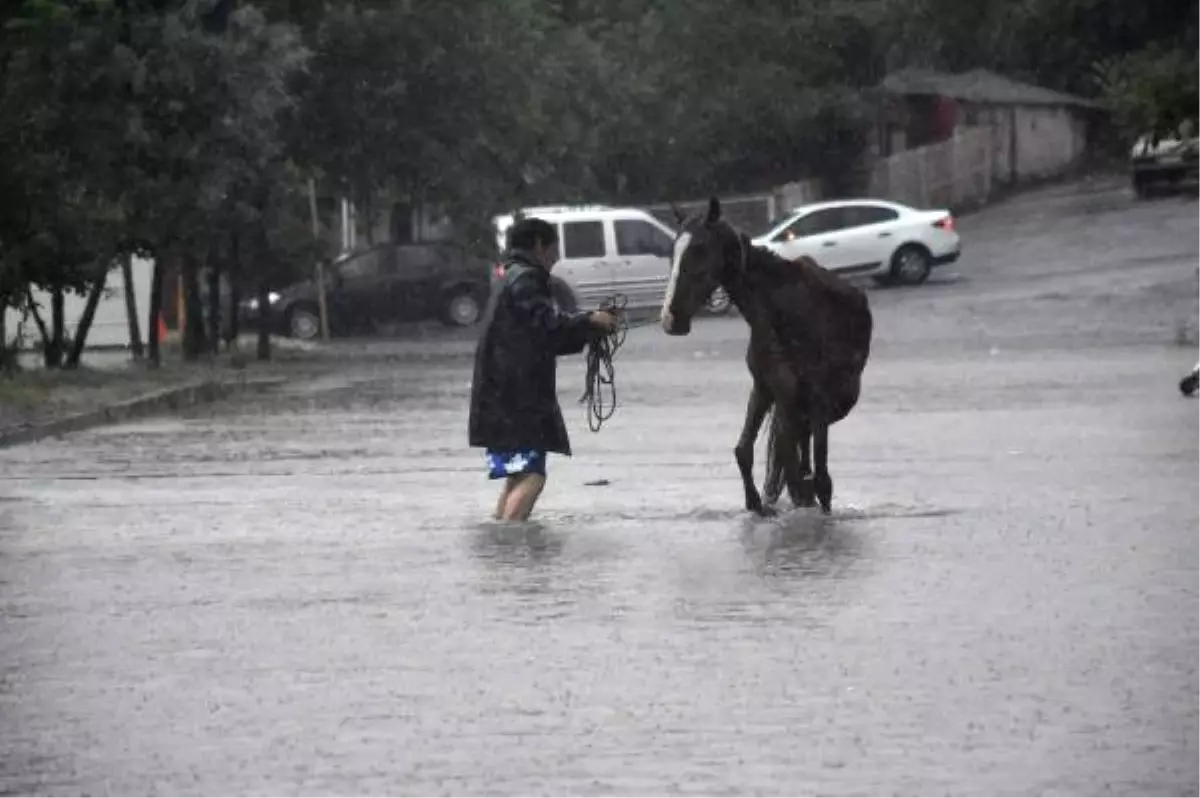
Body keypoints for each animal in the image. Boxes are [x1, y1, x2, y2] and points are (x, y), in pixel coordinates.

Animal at [657, 195, 873, 513]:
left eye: (699, 250)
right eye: (673, 250)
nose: (670, 319)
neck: (784, 314)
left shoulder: (818, 400)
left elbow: (820, 479)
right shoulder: (767, 389)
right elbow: (746, 451)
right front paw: (756, 503)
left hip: (834, 405)